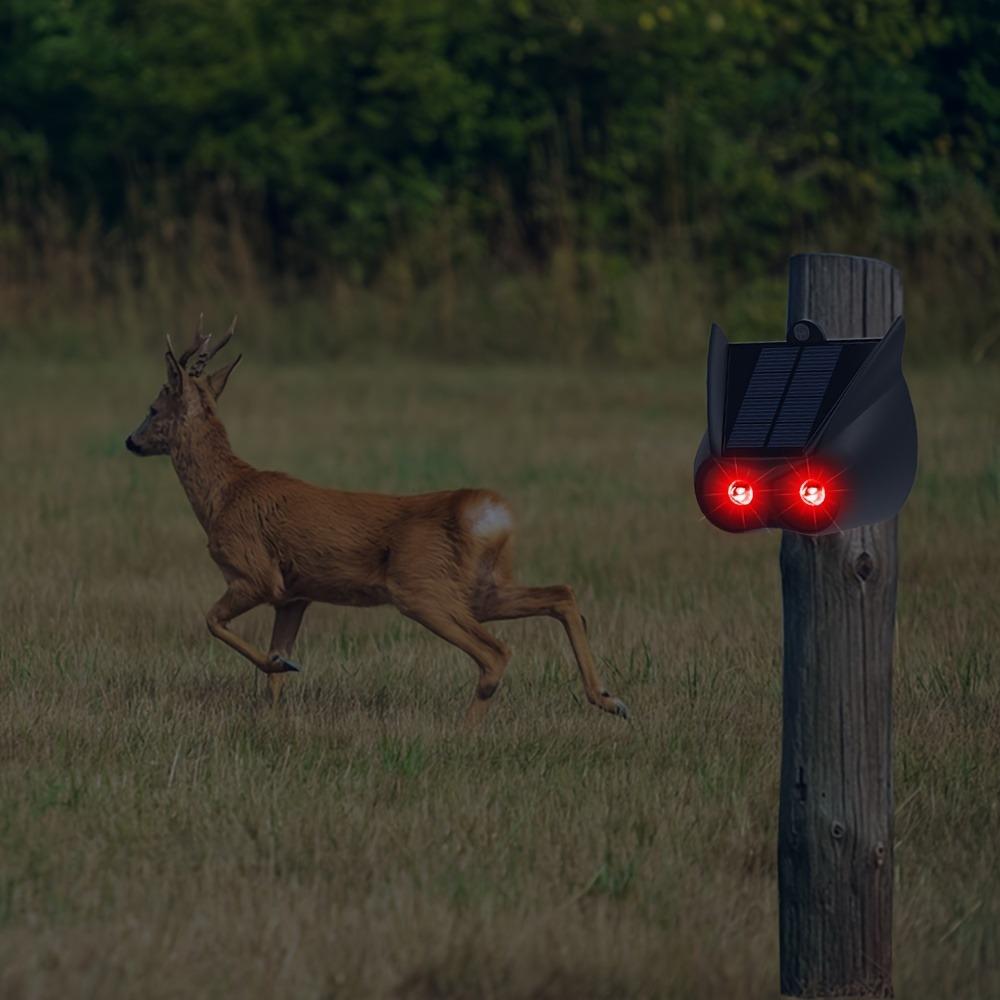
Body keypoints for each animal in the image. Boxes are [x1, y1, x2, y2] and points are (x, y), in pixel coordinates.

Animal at [125, 316, 630, 725]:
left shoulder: (256, 574)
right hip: (480, 587)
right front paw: (273, 704)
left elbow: (214, 622)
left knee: (496, 652)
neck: (224, 495)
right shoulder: (296, 595)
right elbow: (274, 670)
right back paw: (610, 700)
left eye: (152, 408)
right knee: (561, 594)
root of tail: (487, 512)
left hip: (421, 586)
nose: (131, 441)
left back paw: (465, 731)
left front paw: (283, 668)